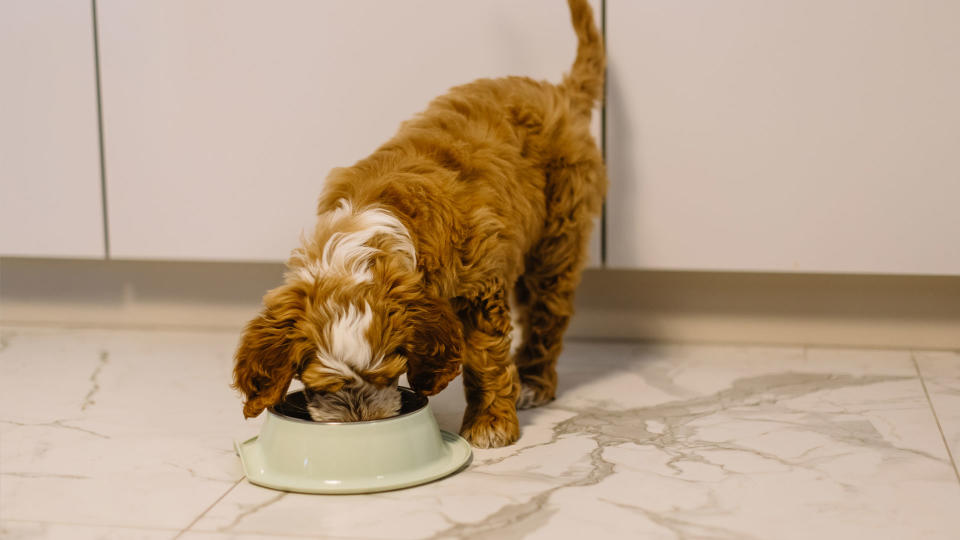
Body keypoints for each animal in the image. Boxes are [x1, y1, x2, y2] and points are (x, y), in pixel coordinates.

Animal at [232, 0, 604, 448]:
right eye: (322, 386)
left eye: (388, 375)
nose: (363, 424)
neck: (366, 230)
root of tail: (561, 92)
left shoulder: (479, 288)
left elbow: (485, 358)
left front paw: (490, 424)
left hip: (559, 231)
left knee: (549, 311)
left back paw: (534, 380)